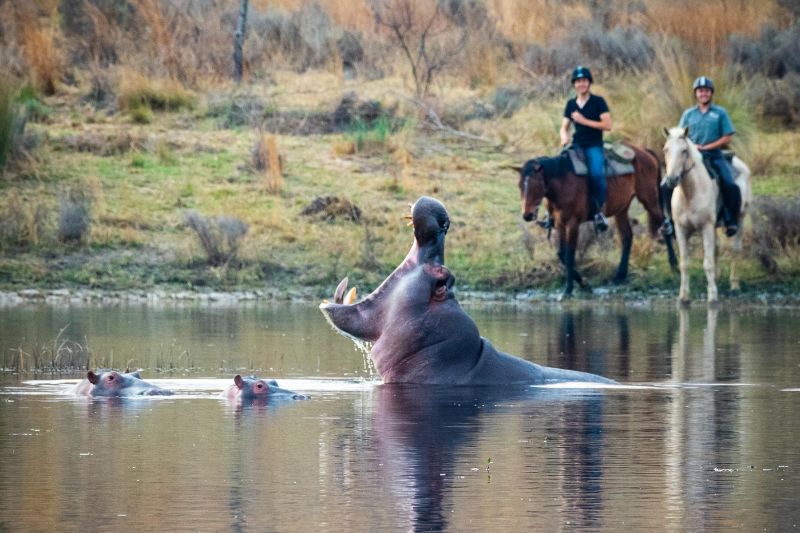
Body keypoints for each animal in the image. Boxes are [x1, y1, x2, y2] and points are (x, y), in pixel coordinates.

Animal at [515, 143, 678, 297]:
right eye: (520, 186)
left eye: (537, 185)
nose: (527, 215)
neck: (563, 183)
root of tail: (645, 151)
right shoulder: (560, 223)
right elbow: (562, 254)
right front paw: (583, 284)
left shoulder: (573, 223)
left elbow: (569, 255)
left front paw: (569, 289)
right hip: (622, 208)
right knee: (627, 236)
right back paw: (620, 276)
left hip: (649, 199)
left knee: (665, 226)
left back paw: (674, 265)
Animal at [662, 127, 751, 305]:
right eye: (665, 150)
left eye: (684, 151)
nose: (672, 180)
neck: (690, 193)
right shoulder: (681, 230)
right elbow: (685, 264)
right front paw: (683, 297)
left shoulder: (706, 227)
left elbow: (707, 263)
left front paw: (713, 297)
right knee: (716, 249)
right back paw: (716, 278)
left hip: (740, 218)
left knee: (736, 249)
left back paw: (734, 285)